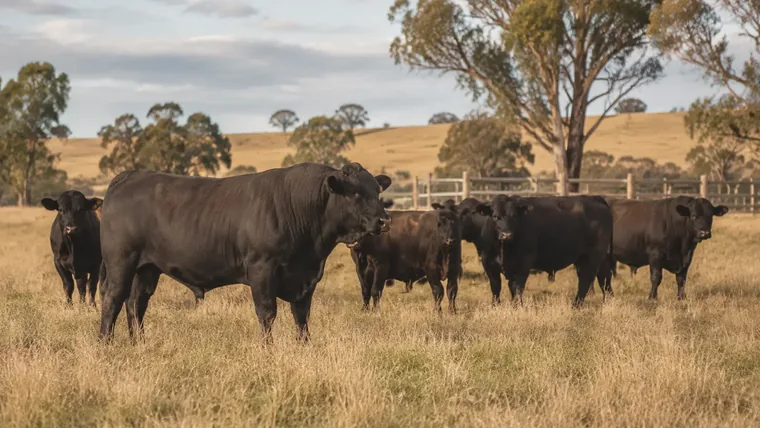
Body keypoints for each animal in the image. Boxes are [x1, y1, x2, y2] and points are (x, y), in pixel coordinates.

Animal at [98, 162, 392, 343]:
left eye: (377, 191)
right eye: (354, 193)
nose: (384, 220)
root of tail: (130, 176)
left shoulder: (307, 277)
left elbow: (302, 315)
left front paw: (305, 346)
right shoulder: (262, 270)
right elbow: (267, 313)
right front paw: (268, 349)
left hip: (146, 268)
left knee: (136, 304)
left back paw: (138, 343)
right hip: (121, 262)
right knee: (113, 299)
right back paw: (106, 343)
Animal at [475, 195, 613, 307]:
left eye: (514, 216)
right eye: (495, 216)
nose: (507, 235)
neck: (503, 248)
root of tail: (593, 198)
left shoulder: (523, 264)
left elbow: (517, 287)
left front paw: (517, 307)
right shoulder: (489, 264)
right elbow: (496, 287)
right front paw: (495, 306)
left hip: (593, 256)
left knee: (586, 280)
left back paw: (576, 306)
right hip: (592, 258)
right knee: (604, 278)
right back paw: (607, 301)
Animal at [598, 196, 728, 300]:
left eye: (710, 216)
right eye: (693, 216)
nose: (704, 233)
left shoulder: (687, 257)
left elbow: (681, 279)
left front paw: (681, 298)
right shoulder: (655, 255)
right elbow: (656, 277)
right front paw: (652, 298)